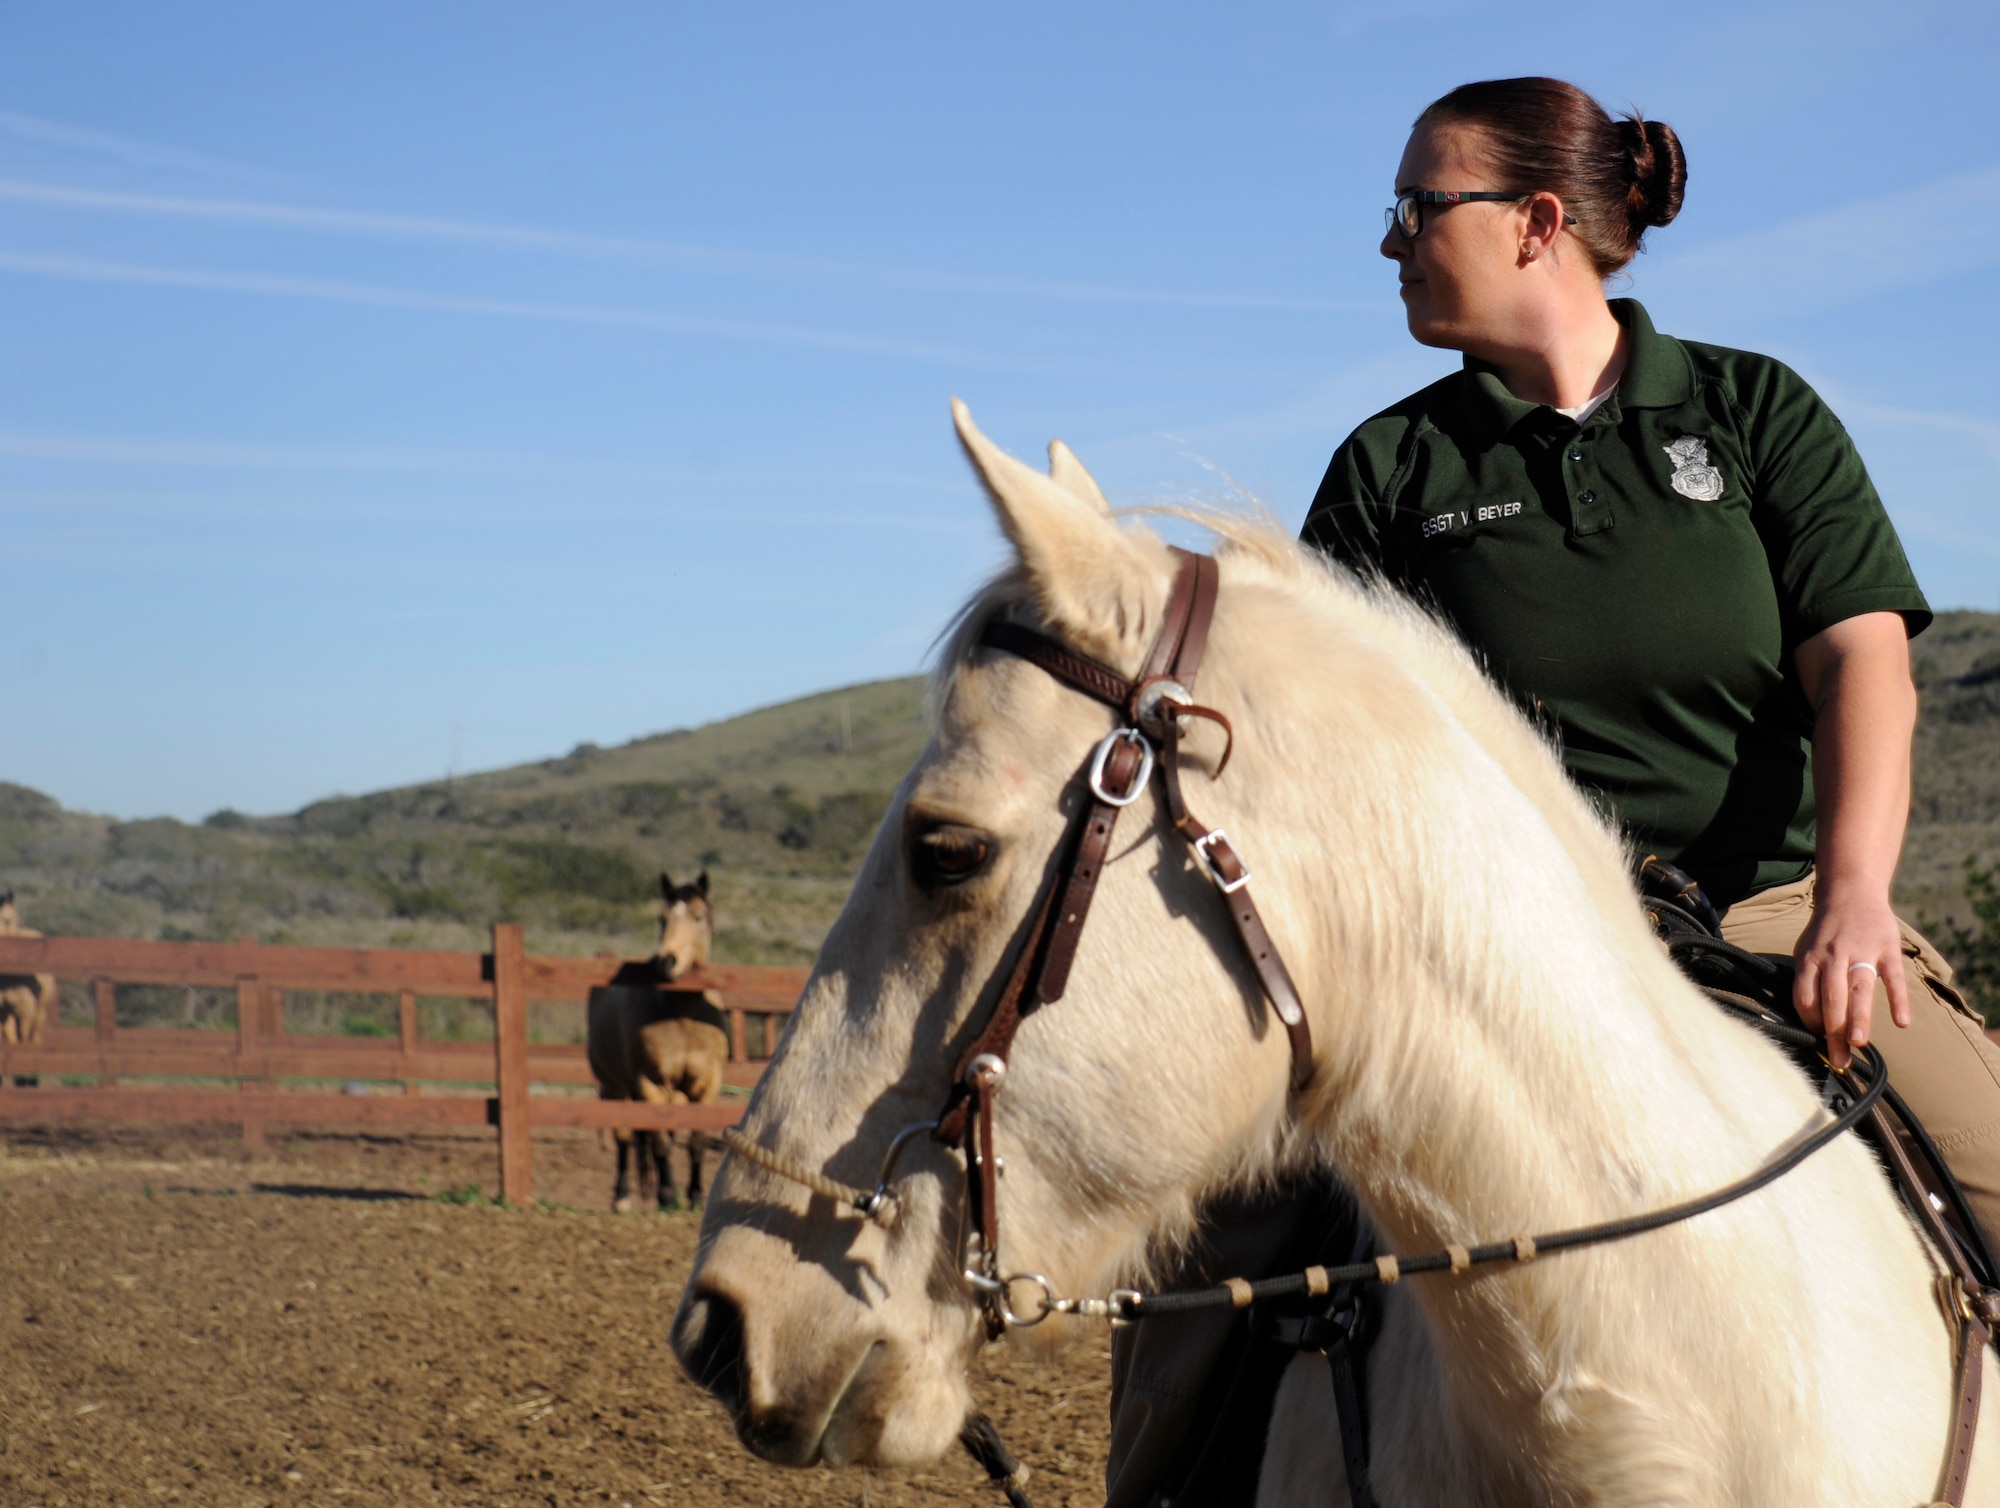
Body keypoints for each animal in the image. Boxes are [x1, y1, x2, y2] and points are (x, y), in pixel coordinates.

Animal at [0, 890, 55, 1087]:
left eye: (8, 920)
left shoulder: (26, 1011)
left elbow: (23, 1040)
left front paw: (24, 1076)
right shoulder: (3, 1013)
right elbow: (11, 1041)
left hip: (38, 1013)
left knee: (33, 1038)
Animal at [586, 870, 726, 1211]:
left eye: (697, 917)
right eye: (662, 918)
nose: (666, 961)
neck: (683, 1016)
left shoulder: (707, 1085)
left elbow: (697, 1141)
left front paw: (695, 1197)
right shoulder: (650, 1085)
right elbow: (660, 1143)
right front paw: (668, 1197)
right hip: (615, 1087)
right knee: (625, 1137)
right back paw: (622, 1196)